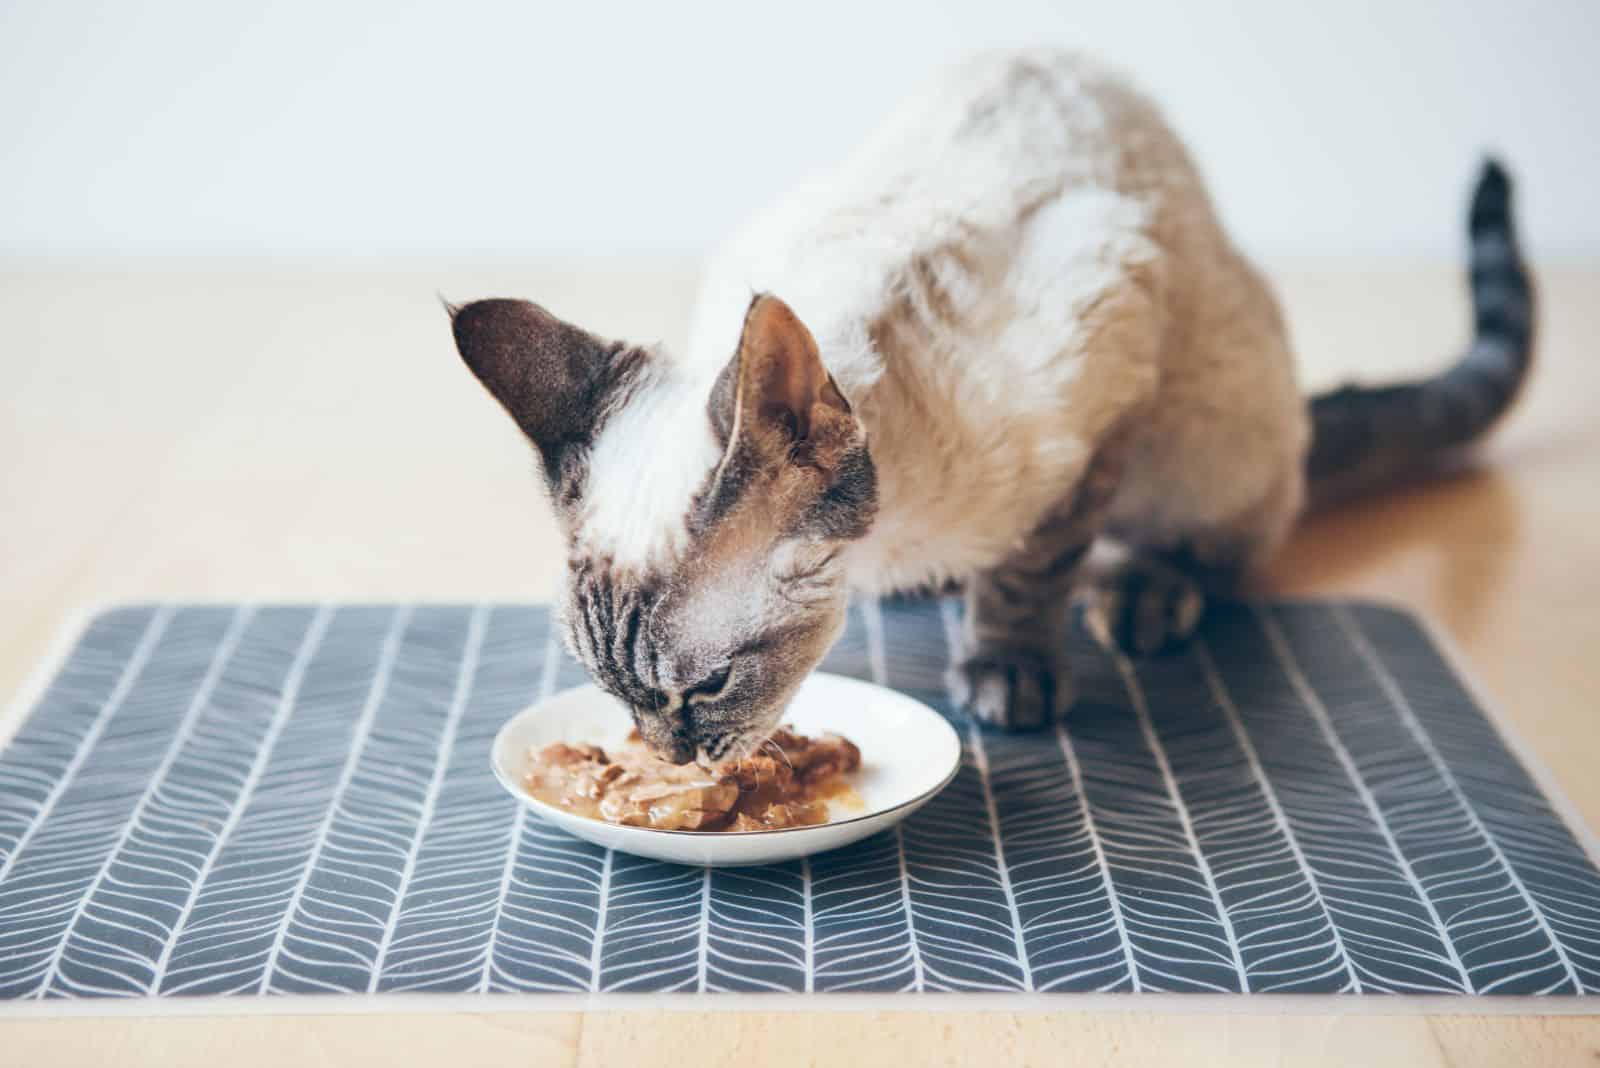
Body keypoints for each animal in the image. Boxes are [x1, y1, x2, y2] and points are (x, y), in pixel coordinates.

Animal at [444, 49, 1529, 764]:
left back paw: (1141, 593)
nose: (669, 760)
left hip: (1207, 437)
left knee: (1217, 548)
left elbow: (1033, 569)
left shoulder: (1103, 377)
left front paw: (1007, 671)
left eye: (705, 688)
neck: (879, 548)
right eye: (611, 693)